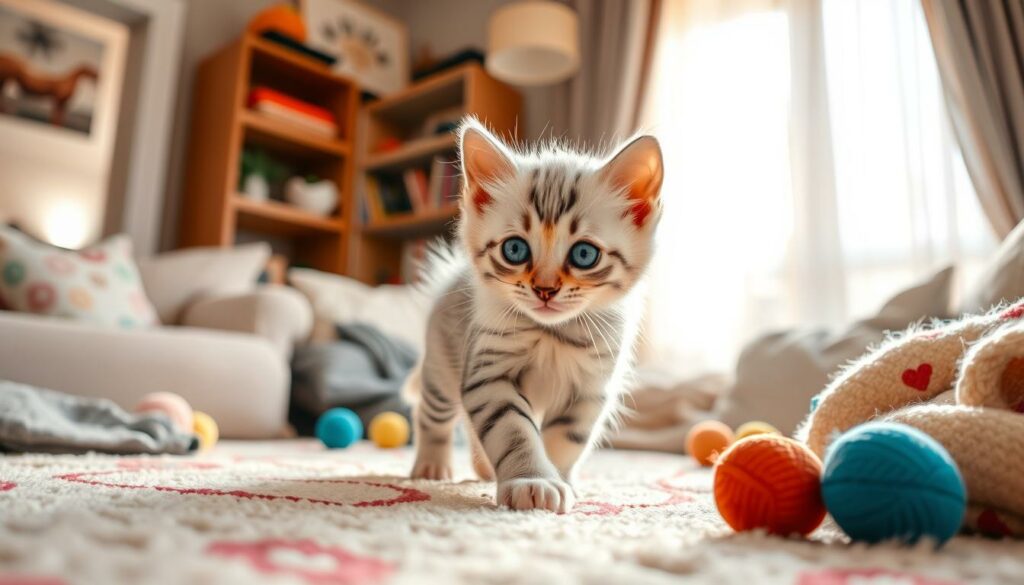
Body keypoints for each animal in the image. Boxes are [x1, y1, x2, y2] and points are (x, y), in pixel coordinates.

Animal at [401, 118, 663, 512]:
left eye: (584, 255)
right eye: (515, 249)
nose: (545, 289)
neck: (552, 335)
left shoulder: (590, 390)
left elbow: (565, 441)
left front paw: (559, 479)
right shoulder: (488, 373)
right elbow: (512, 430)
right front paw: (532, 480)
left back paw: (483, 468)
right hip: (441, 367)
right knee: (434, 416)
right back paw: (431, 465)